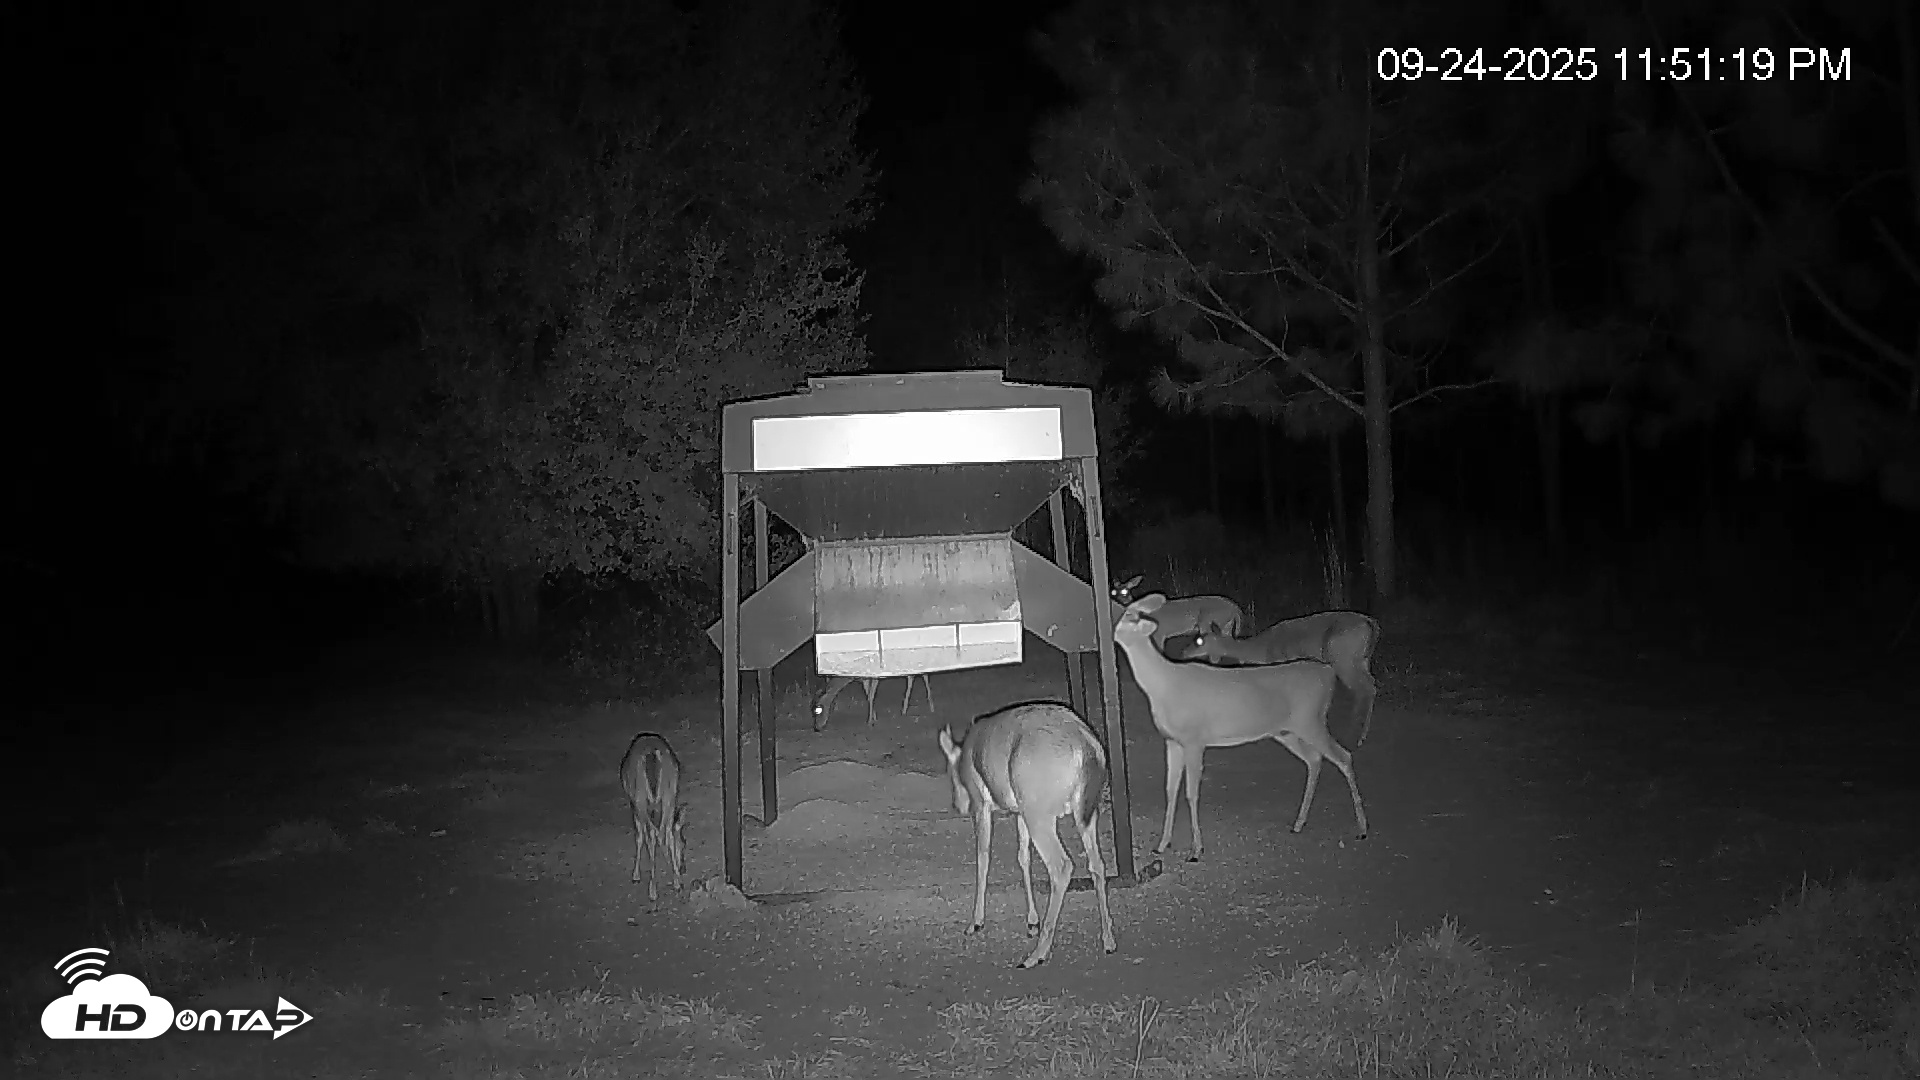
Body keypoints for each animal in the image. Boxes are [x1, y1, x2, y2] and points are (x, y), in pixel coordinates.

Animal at [618, 733, 687, 902]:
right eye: (683, 843)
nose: (683, 868)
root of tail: (651, 753)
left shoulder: (634, 805)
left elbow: (640, 837)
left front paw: (636, 875)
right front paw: (675, 873)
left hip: (640, 797)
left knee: (651, 835)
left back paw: (653, 890)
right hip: (670, 793)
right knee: (666, 832)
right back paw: (676, 882)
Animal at [936, 702, 1118, 969]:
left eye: (950, 773)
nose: (957, 806)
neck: (966, 754)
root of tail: (1088, 747)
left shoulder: (982, 806)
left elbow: (983, 857)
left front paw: (975, 922)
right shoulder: (1019, 812)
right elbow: (1023, 857)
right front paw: (1032, 921)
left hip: (1040, 816)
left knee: (1062, 866)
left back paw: (1036, 954)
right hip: (1083, 813)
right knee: (1097, 864)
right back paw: (1108, 940)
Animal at [1110, 574, 1245, 654]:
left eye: (1125, 591)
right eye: (1113, 592)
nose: (1119, 600)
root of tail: (1236, 608)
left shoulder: (1160, 632)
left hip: (1211, 620)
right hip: (1227, 624)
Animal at [1173, 609, 1381, 747]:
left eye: (1199, 640)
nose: (1182, 652)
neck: (1260, 649)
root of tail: (1371, 624)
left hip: (1343, 658)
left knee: (1364, 688)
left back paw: (1355, 735)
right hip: (1362, 660)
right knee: (1370, 685)